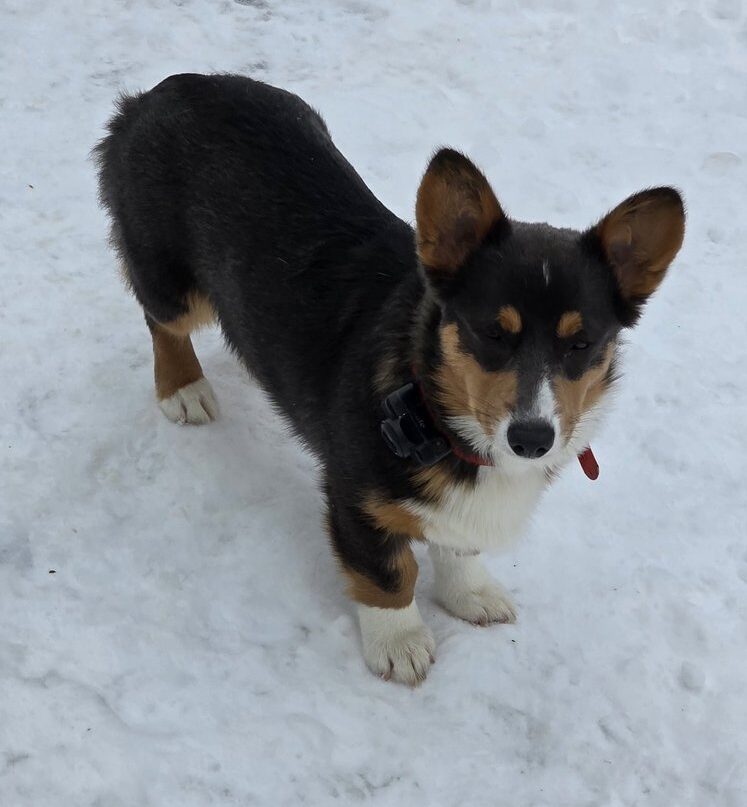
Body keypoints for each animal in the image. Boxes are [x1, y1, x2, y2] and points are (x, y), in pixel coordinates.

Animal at [95, 73, 685, 684]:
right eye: (491, 333)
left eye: (581, 343)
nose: (531, 439)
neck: (434, 409)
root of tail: (156, 93)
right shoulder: (355, 497)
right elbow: (388, 574)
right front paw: (400, 645)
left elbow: (459, 547)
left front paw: (470, 594)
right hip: (171, 281)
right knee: (161, 321)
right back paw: (184, 389)